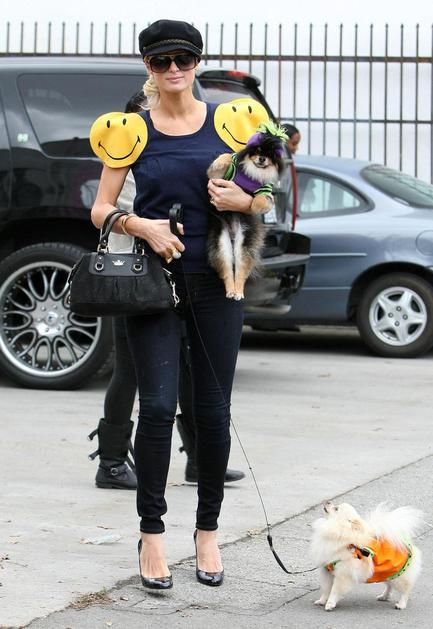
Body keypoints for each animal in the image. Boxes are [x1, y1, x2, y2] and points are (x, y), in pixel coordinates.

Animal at [206, 122, 287, 300]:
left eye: (270, 155)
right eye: (257, 151)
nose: (262, 159)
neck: (253, 172)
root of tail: (232, 233)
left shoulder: (264, 190)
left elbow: (262, 199)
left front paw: (254, 206)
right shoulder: (220, 176)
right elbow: (225, 159)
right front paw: (227, 157)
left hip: (244, 243)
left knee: (241, 271)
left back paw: (238, 292)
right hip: (221, 243)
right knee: (227, 270)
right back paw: (231, 290)